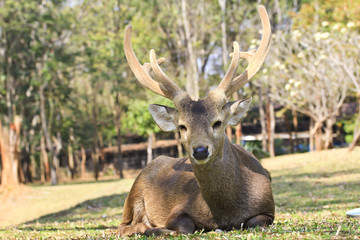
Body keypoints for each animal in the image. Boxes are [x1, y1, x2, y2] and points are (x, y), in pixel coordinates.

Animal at [119, 5, 274, 236]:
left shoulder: (269, 209)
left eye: (218, 122)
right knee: (124, 226)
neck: (225, 213)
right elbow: (184, 226)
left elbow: (254, 222)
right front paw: (162, 229)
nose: (200, 150)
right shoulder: (178, 208)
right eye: (182, 126)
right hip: (133, 190)